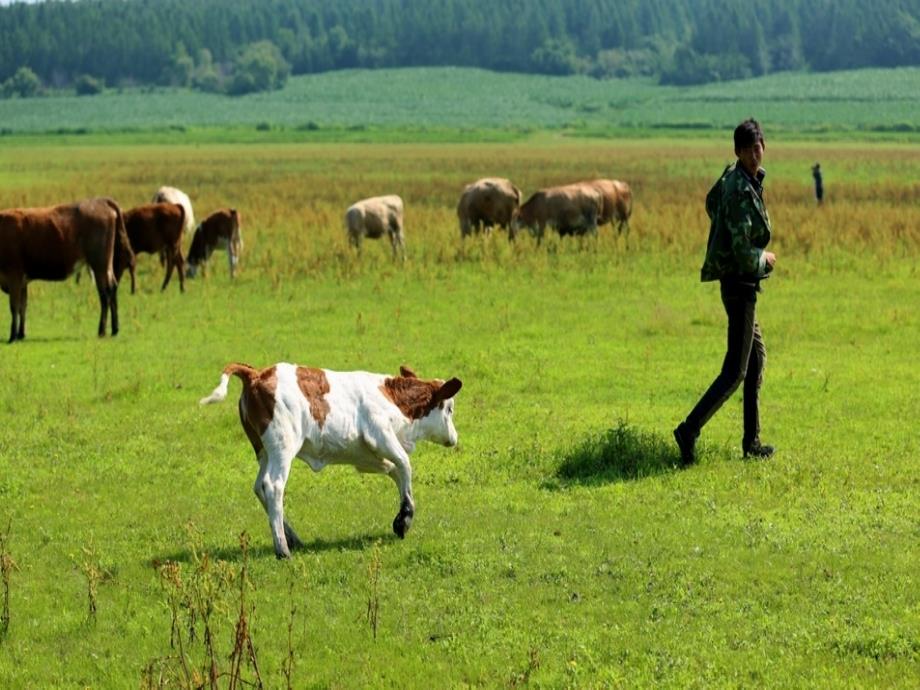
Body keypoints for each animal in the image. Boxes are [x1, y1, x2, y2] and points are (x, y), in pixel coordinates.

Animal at [0, 196, 133, 342]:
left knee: (105, 294)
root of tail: (100, 200)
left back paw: (102, 331)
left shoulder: (14, 275)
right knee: (113, 287)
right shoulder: (23, 280)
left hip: (99, 264)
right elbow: (22, 307)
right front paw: (20, 334)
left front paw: (12, 336)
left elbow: (14, 306)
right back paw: (115, 329)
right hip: (106, 265)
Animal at [200, 360, 460, 560]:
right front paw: (404, 518)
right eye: (449, 409)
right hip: (282, 448)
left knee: (259, 487)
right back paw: (282, 549)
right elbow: (405, 465)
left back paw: (291, 537)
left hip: (263, 451)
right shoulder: (381, 434)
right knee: (273, 486)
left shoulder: (365, 455)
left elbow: (394, 470)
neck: (392, 398)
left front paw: (401, 518)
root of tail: (256, 374)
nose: (454, 438)